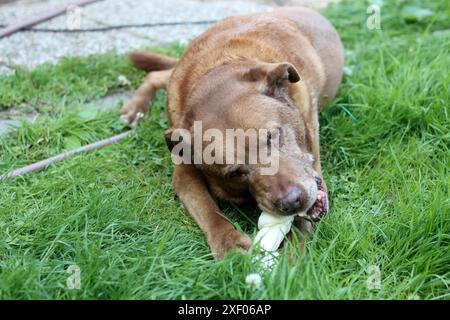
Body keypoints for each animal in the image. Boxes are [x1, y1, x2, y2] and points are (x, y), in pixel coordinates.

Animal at [120, 6, 344, 258]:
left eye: (273, 136)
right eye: (236, 173)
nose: (291, 202)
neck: (214, 72)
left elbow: (303, 221)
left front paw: (293, 252)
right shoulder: (184, 172)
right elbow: (208, 210)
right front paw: (229, 243)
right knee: (156, 75)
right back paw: (135, 108)